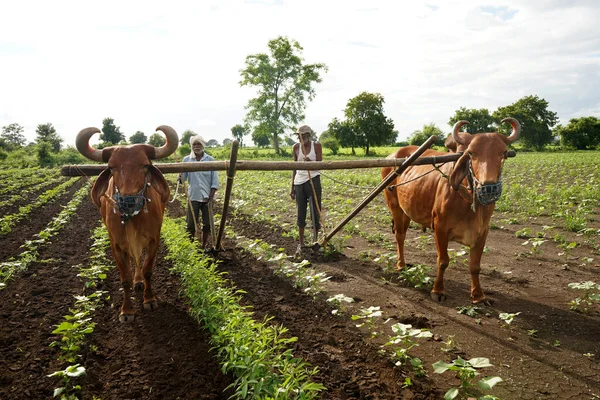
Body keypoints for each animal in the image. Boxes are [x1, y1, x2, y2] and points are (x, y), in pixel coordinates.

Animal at [77, 126, 178, 322]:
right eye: (111, 167)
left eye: (145, 165)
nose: (128, 201)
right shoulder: (115, 245)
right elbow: (125, 278)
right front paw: (127, 310)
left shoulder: (154, 240)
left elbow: (147, 270)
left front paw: (149, 299)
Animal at [384, 118, 520, 304]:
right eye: (471, 153)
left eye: (504, 153)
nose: (489, 187)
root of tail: (392, 156)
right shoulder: (440, 228)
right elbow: (443, 261)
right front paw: (438, 290)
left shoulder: (483, 232)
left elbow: (475, 266)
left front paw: (478, 295)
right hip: (395, 207)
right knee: (399, 236)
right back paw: (401, 265)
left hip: (406, 211)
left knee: (402, 233)